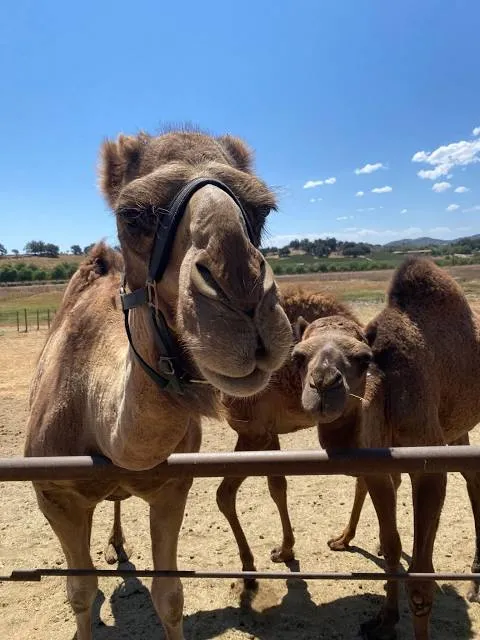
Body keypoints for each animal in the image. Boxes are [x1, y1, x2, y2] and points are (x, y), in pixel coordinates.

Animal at [24, 128, 293, 640]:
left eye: (264, 210)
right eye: (132, 216)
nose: (244, 295)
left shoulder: (172, 487)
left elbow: (169, 596)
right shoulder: (53, 495)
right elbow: (80, 593)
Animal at [292, 256, 480, 639]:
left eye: (363, 358)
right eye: (298, 357)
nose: (324, 383)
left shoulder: (428, 465)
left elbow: (421, 581)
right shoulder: (379, 466)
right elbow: (392, 546)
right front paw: (385, 619)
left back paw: (475, 581)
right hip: (456, 429)